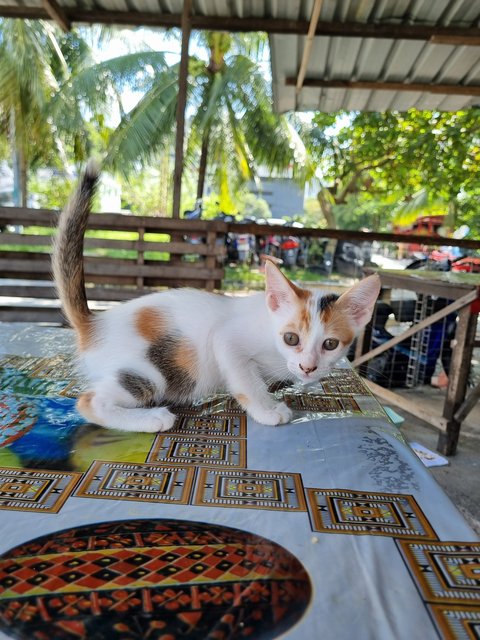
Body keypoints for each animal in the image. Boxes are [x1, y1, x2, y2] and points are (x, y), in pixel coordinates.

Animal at [52, 165, 380, 432]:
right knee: (90, 401)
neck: (270, 332)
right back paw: (152, 418)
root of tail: (94, 323)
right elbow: (246, 378)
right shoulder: (226, 339)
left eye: (330, 344)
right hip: (150, 369)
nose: (309, 368)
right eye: (291, 339)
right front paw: (267, 410)